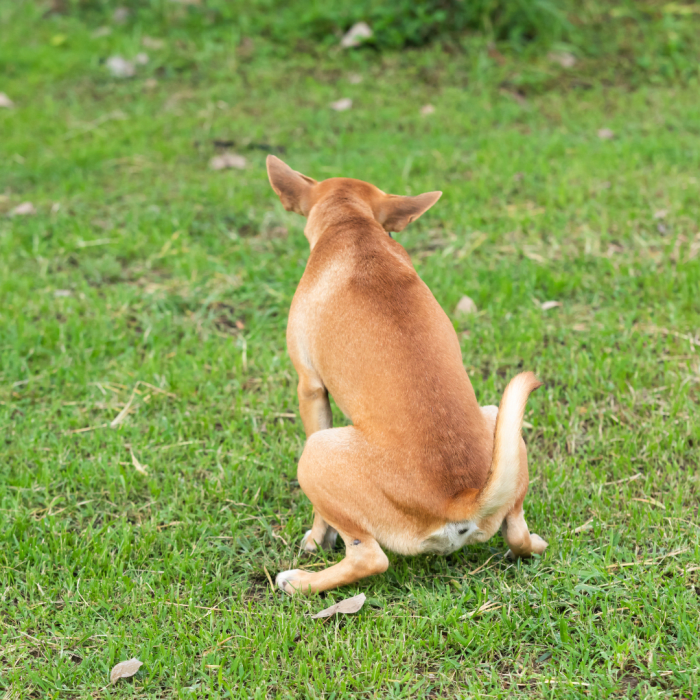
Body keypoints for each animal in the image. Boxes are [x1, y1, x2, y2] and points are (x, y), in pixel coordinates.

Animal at [268, 156, 548, 592]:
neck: (352, 226)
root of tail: (459, 499)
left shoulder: (310, 388)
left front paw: (317, 538)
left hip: (316, 454)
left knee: (368, 558)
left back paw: (298, 582)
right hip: (497, 420)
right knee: (517, 533)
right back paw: (531, 541)